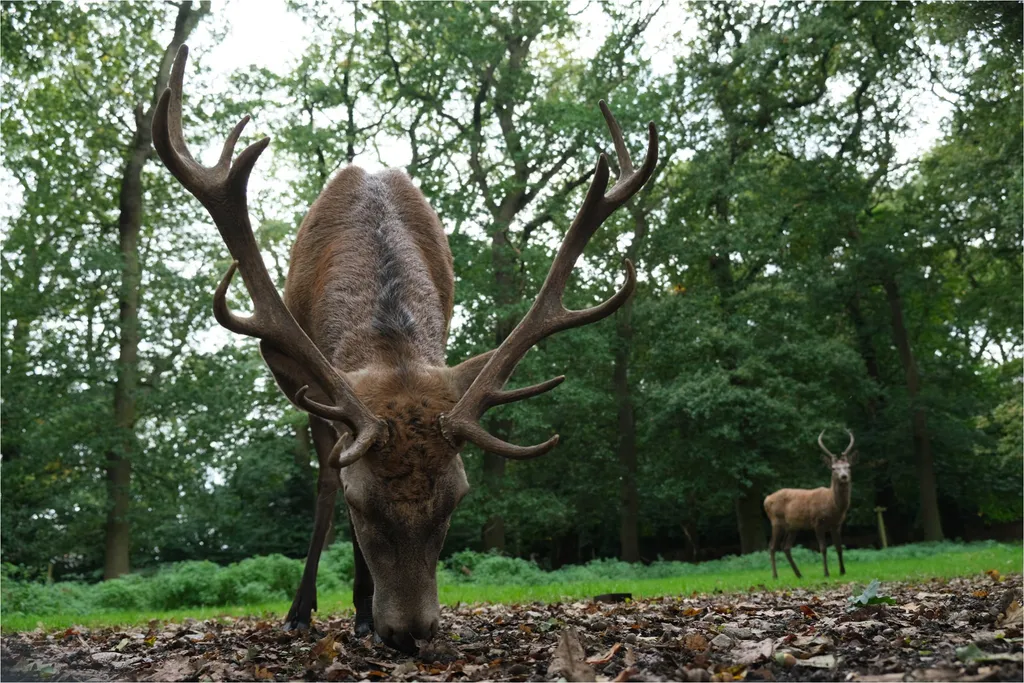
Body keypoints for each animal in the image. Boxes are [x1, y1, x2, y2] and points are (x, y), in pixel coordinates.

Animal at [152, 45, 657, 653]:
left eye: (457, 498)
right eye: (361, 504)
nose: (411, 631)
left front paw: (363, 613)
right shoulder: (306, 385)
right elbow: (329, 477)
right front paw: (335, 611)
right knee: (321, 473)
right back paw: (307, 609)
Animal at [763, 429, 856, 580]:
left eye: (848, 466)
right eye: (833, 468)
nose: (844, 477)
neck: (833, 506)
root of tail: (766, 500)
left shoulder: (837, 525)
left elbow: (839, 547)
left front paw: (843, 571)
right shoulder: (817, 522)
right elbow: (823, 548)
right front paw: (826, 573)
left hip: (793, 526)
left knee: (785, 546)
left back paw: (799, 574)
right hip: (776, 521)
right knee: (772, 546)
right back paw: (775, 576)